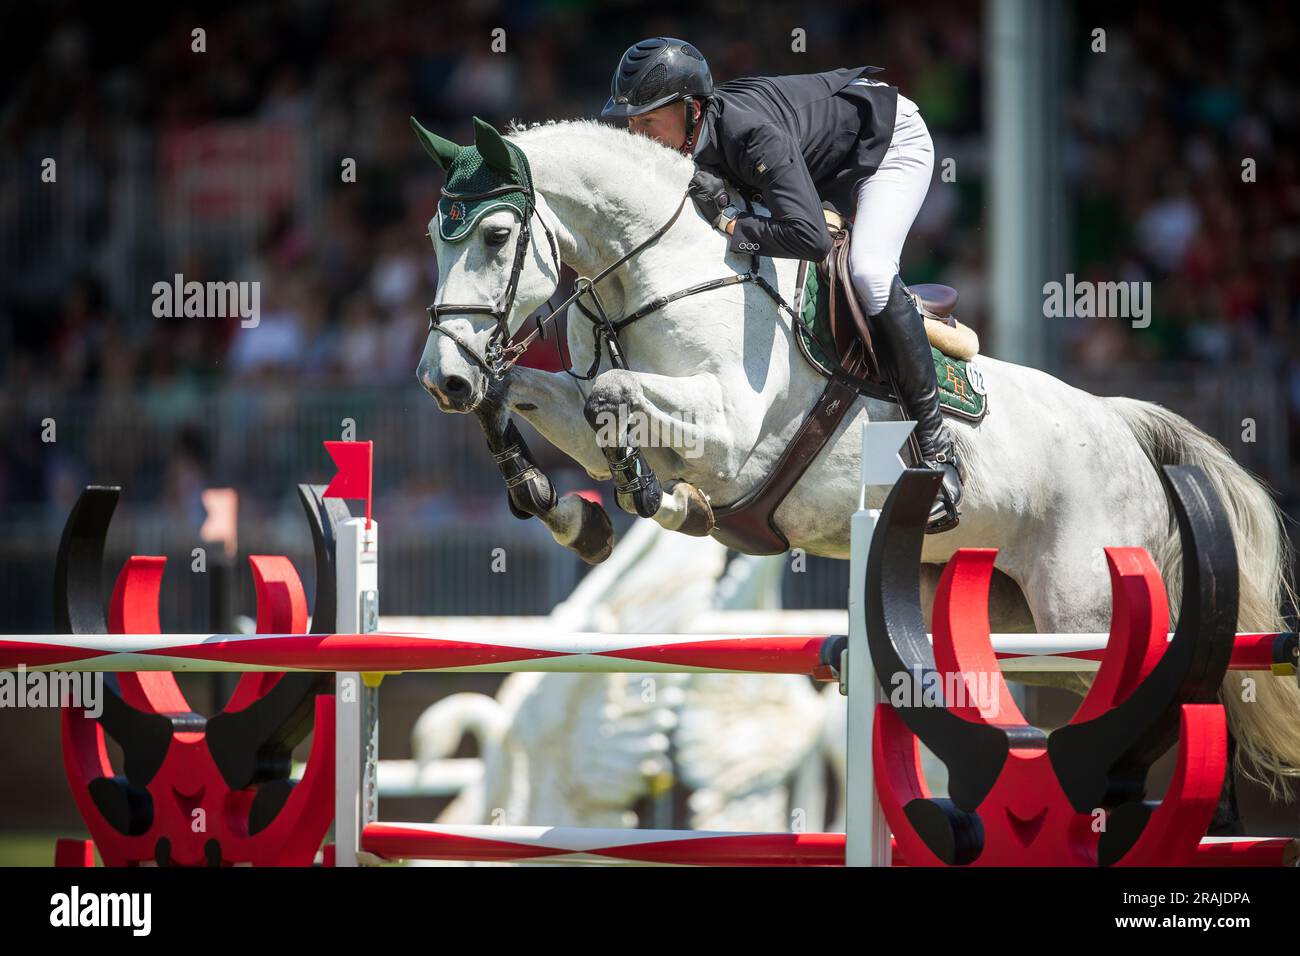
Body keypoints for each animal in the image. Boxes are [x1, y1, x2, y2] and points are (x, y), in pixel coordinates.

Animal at [413, 115, 1300, 796]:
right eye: (432, 237)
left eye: (496, 234)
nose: (440, 377)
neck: (659, 275)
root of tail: (1124, 428)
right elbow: (532, 398)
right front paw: (567, 509)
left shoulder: (733, 434)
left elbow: (612, 401)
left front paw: (659, 500)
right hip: (1009, 621)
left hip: (1083, 613)